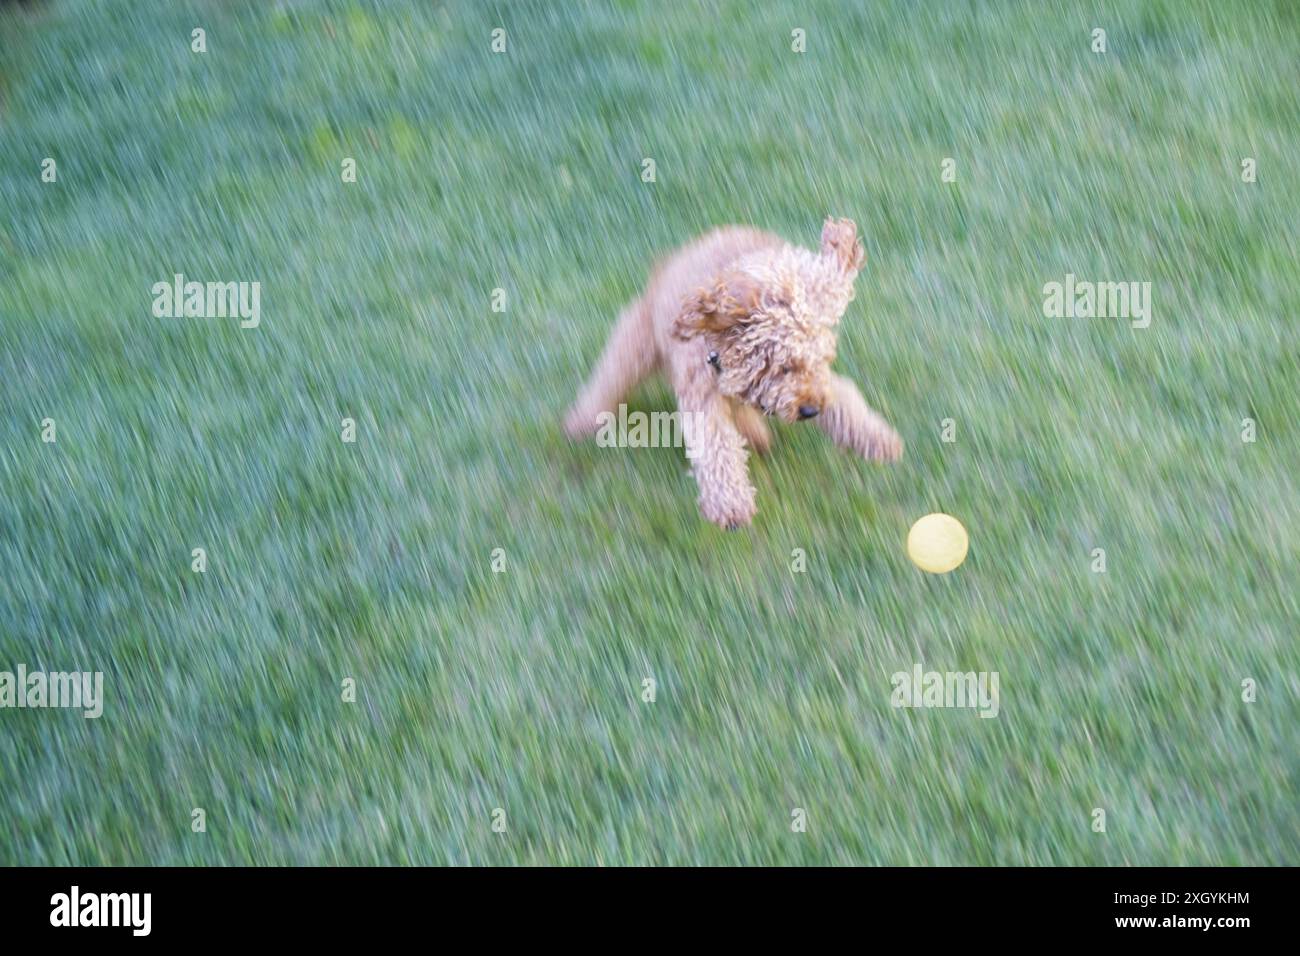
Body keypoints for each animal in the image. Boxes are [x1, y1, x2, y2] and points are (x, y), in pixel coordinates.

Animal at [564, 217, 899, 528]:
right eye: (783, 366)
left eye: (821, 361)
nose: (810, 411)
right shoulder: (702, 395)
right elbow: (717, 448)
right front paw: (730, 505)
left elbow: (844, 401)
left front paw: (878, 440)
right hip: (639, 340)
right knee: (611, 376)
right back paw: (582, 421)